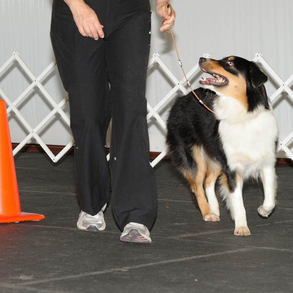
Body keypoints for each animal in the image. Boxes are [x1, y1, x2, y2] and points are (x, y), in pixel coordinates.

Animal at [165, 56, 278, 235]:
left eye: (230, 63)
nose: (201, 58)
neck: (243, 115)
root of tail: (181, 99)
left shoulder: (266, 162)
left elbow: (269, 199)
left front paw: (263, 211)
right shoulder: (232, 168)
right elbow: (238, 201)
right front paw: (241, 226)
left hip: (216, 157)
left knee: (207, 182)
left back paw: (213, 208)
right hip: (194, 156)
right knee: (197, 185)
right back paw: (207, 212)